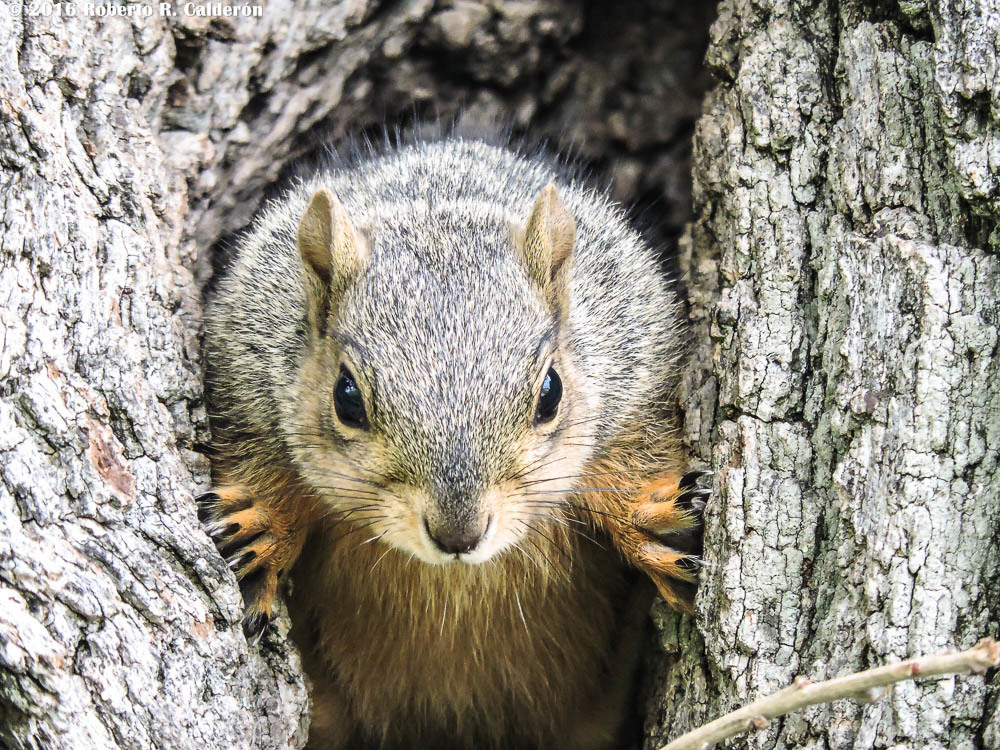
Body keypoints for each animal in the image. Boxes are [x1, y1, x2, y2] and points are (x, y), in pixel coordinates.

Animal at [199, 137, 708, 750]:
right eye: (347, 397)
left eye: (551, 392)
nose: (459, 535)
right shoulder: (240, 370)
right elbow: (257, 451)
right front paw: (262, 526)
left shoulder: (640, 365)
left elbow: (640, 446)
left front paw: (651, 516)